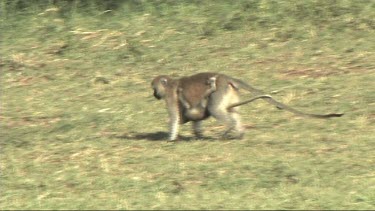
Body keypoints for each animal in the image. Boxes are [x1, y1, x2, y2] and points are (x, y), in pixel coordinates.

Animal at [151, 71, 346, 141]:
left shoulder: (170, 96)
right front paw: (197, 135)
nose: (154, 94)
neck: (171, 84)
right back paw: (240, 132)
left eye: (155, 88)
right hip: (229, 94)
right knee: (232, 112)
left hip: (219, 92)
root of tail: (225, 78)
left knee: (215, 109)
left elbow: (175, 119)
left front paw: (170, 139)